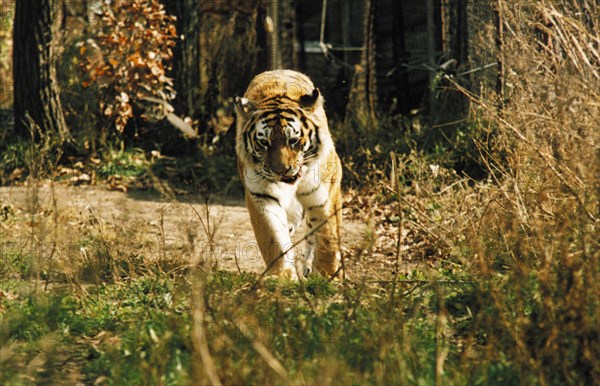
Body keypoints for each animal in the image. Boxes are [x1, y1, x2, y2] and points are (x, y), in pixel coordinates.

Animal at [236, 70, 342, 280]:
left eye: (292, 140)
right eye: (264, 142)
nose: (281, 170)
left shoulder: (324, 196)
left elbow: (328, 237)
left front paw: (328, 276)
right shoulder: (261, 197)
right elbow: (274, 238)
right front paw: (282, 277)